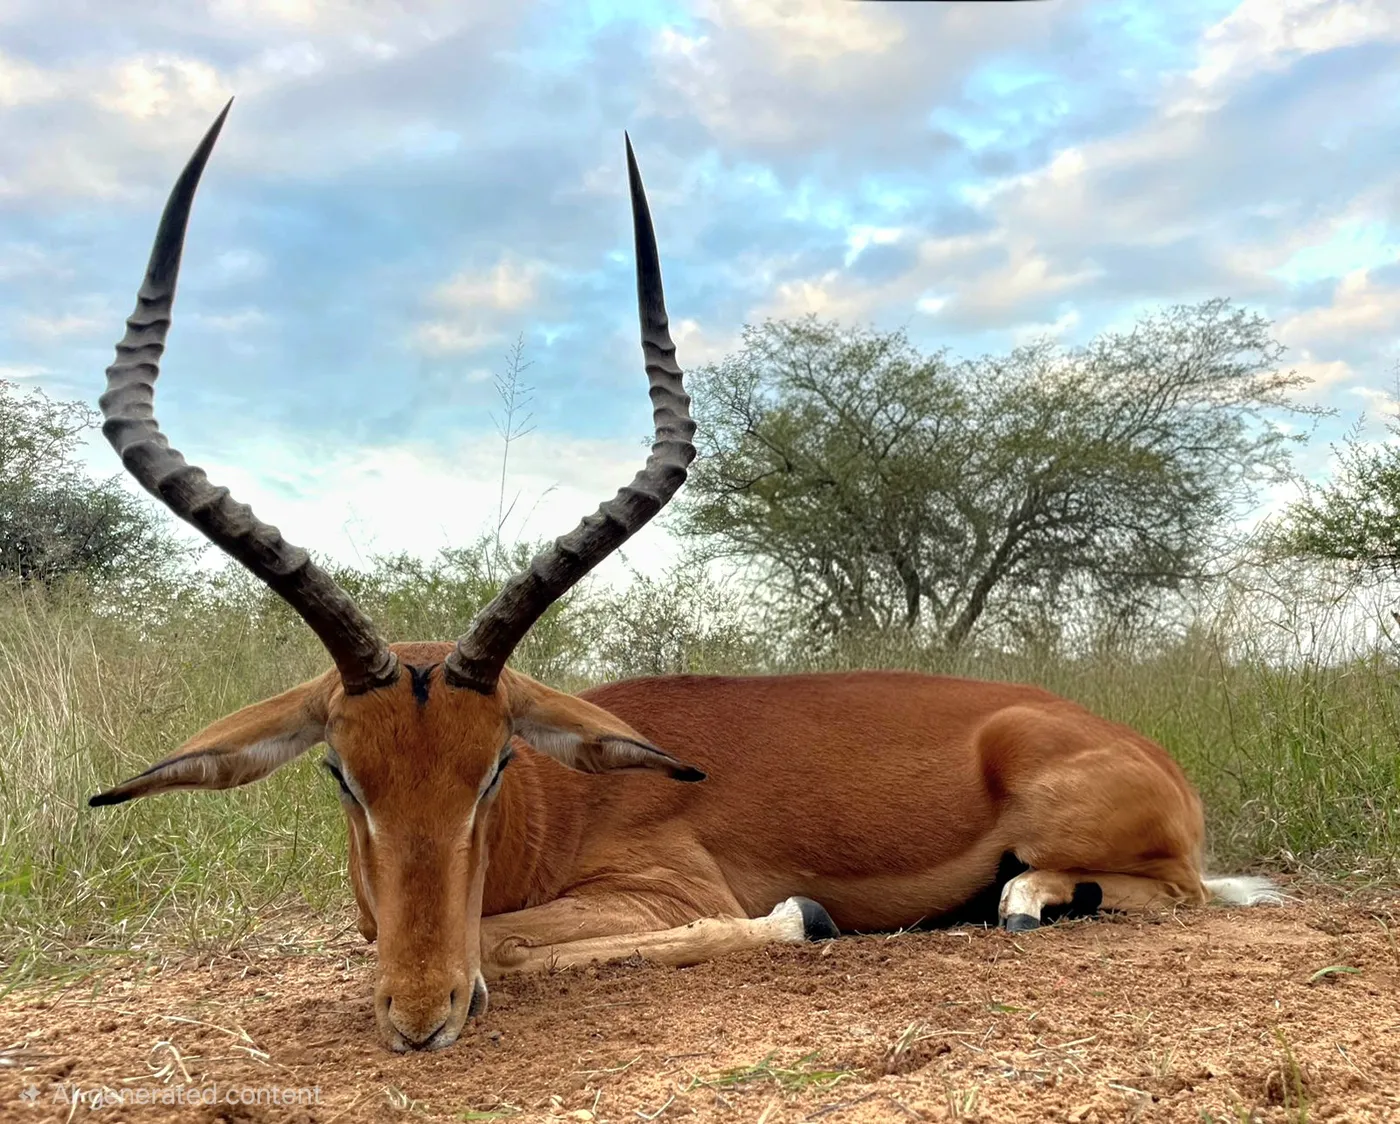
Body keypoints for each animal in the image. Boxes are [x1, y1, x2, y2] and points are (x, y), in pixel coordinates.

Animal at [91, 103, 1282, 1055]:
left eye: (494, 766)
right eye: (343, 773)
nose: (421, 1015)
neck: (553, 809)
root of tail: (1143, 751)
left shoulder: (658, 890)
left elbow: (511, 946)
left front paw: (803, 917)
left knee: (1172, 889)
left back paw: (1028, 897)